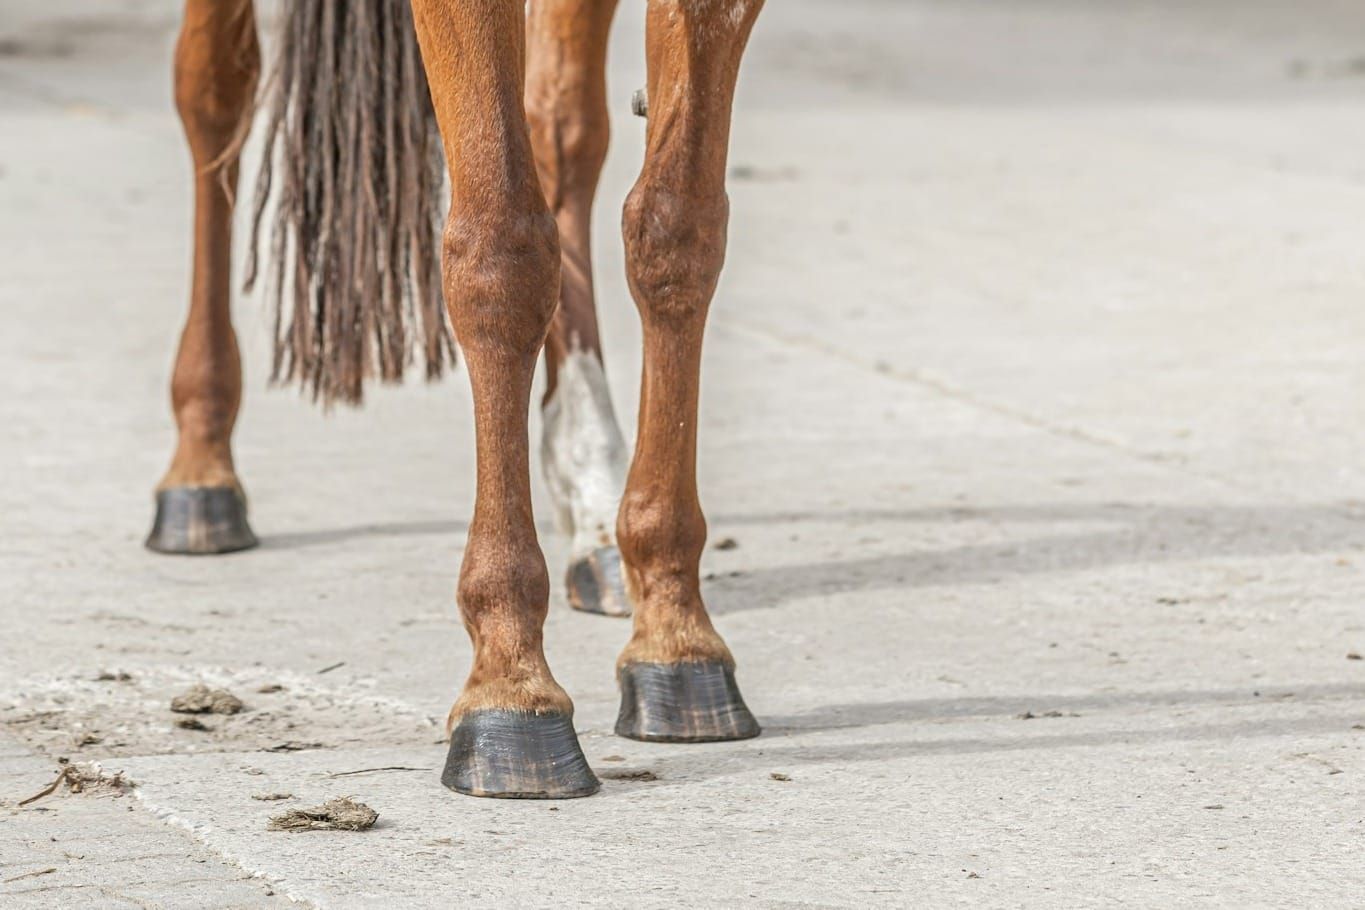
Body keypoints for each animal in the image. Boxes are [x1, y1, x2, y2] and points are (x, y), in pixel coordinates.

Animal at [151, 0, 765, 798]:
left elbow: (676, 228)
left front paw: (674, 634)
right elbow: (502, 252)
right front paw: (510, 684)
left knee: (561, 124)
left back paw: (594, 501)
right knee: (214, 91)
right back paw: (201, 467)